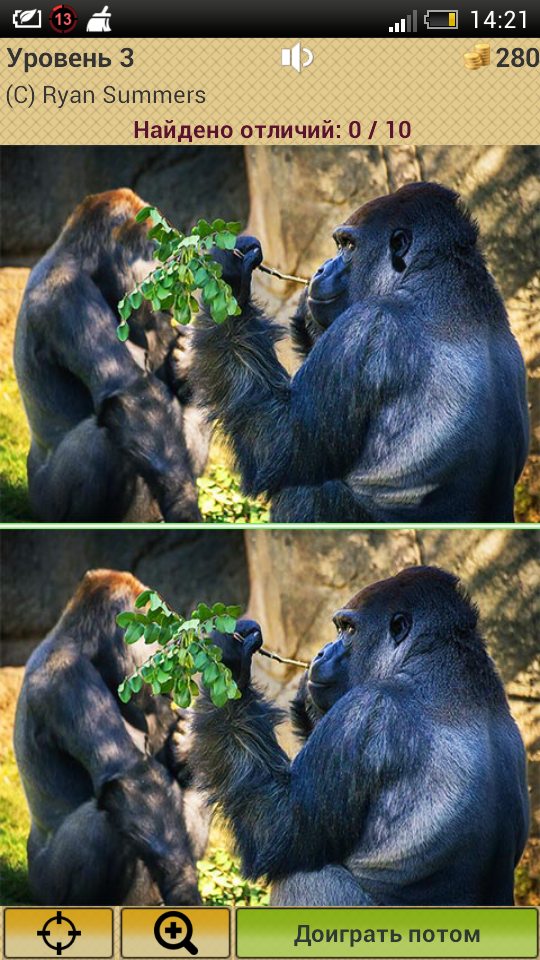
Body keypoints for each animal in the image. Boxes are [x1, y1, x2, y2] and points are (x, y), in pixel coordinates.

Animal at [12, 568, 211, 908]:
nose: (167, 652)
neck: (82, 645)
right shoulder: (68, 678)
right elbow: (132, 777)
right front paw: (184, 888)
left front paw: (186, 744)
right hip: (43, 887)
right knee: (101, 824)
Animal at [13, 190, 210, 520]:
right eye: (156, 252)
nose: (169, 272)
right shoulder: (68, 293)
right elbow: (132, 394)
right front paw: (184, 505)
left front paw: (187, 358)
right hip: (44, 503)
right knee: (102, 441)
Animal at [192, 568, 528, 908]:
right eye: (339, 628)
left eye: (348, 629)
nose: (322, 651)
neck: (435, 656)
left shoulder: (363, 710)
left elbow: (277, 828)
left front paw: (229, 660)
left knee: (304, 876)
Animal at [193, 183, 528, 520]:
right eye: (339, 244)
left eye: (349, 246)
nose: (321, 268)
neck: (433, 271)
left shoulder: (363, 327)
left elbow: (278, 446)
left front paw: (228, 275)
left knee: (307, 492)